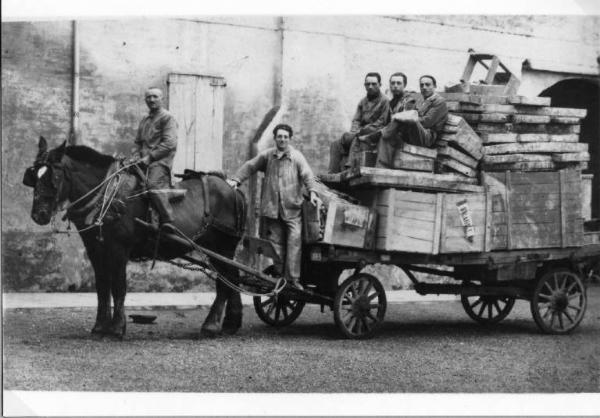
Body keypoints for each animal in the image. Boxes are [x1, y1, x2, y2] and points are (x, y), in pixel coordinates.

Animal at [22, 137, 245, 340]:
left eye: (55, 176)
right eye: (34, 176)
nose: (39, 214)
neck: (107, 196)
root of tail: (232, 189)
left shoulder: (119, 249)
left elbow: (118, 287)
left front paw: (116, 328)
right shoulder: (96, 249)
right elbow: (102, 286)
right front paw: (100, 326)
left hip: (222, 246)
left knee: (225, 282)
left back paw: (211, 325)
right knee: (232, 277)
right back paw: (230, 323)